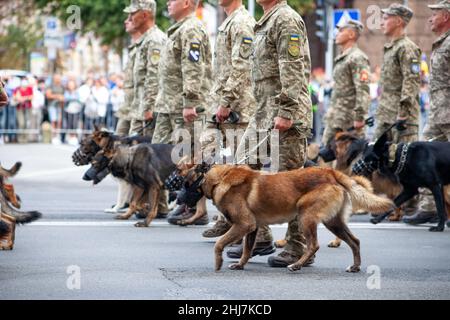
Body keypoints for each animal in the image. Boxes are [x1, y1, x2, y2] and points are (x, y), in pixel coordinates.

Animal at [178, 165, 394, 272]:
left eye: (185, 184)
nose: (177, 199)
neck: (219, 179)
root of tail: (330, 171)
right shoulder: (251, 228)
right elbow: (247, 250)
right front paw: (240, 265)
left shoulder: (244, 224)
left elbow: (219, 244)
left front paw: (218, 263)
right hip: (333, 222)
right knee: (355, 242)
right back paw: (355, 266)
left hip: (306, 216)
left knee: (313, 245)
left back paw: (296, 265)